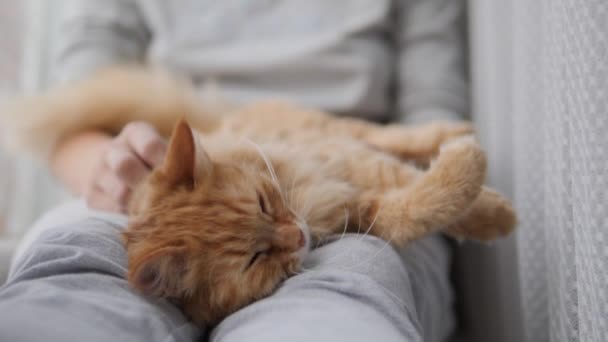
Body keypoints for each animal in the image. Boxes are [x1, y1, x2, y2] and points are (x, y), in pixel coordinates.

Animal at [1, 67, 516, 326]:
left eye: (264, 204)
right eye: (255, 258)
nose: (298, 236)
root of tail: (216, 122)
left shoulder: (344, 163)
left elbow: (415, 179)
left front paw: (490, 206)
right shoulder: (362, 207)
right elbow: (415, 208)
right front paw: (484, 204)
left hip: (328, 127)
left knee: (388, 134)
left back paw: (453, 131)